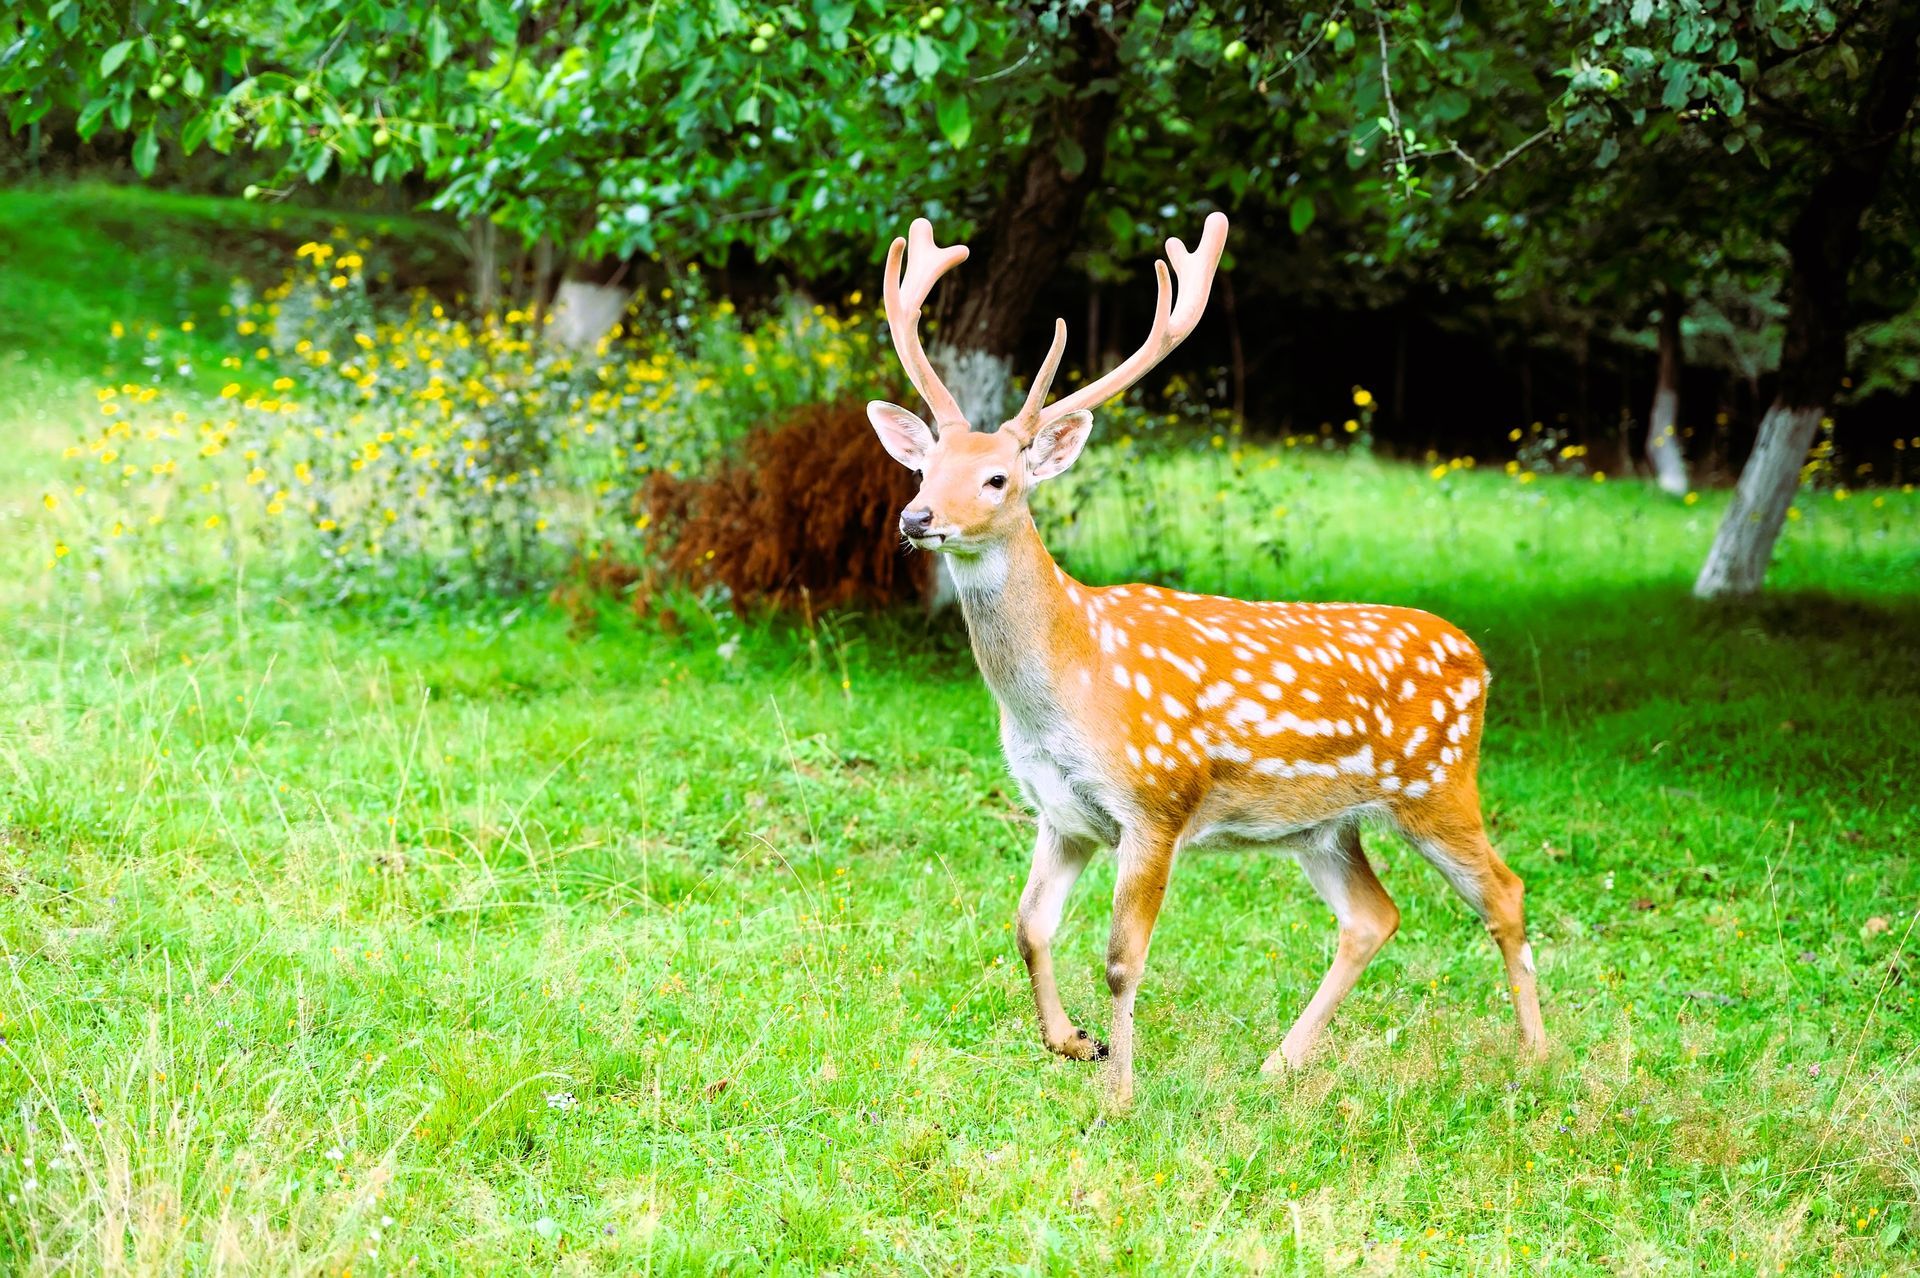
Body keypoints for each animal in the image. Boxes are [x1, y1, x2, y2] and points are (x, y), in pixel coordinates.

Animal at [867, 213, 1543, 1097]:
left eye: (998, 480)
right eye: (922, 467)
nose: (917, 518)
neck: (1063, 687)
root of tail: (1477, 657)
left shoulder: (1157, 801)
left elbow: (1122, 958)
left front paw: (1119, 1093)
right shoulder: (1062, 813)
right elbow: (1028, 927)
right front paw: (1074, 1042)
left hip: (1439, 785)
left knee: (1505, 891)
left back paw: (1538, 1055)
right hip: (1327, 826)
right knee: (1374, 915)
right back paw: (1280, 1061)